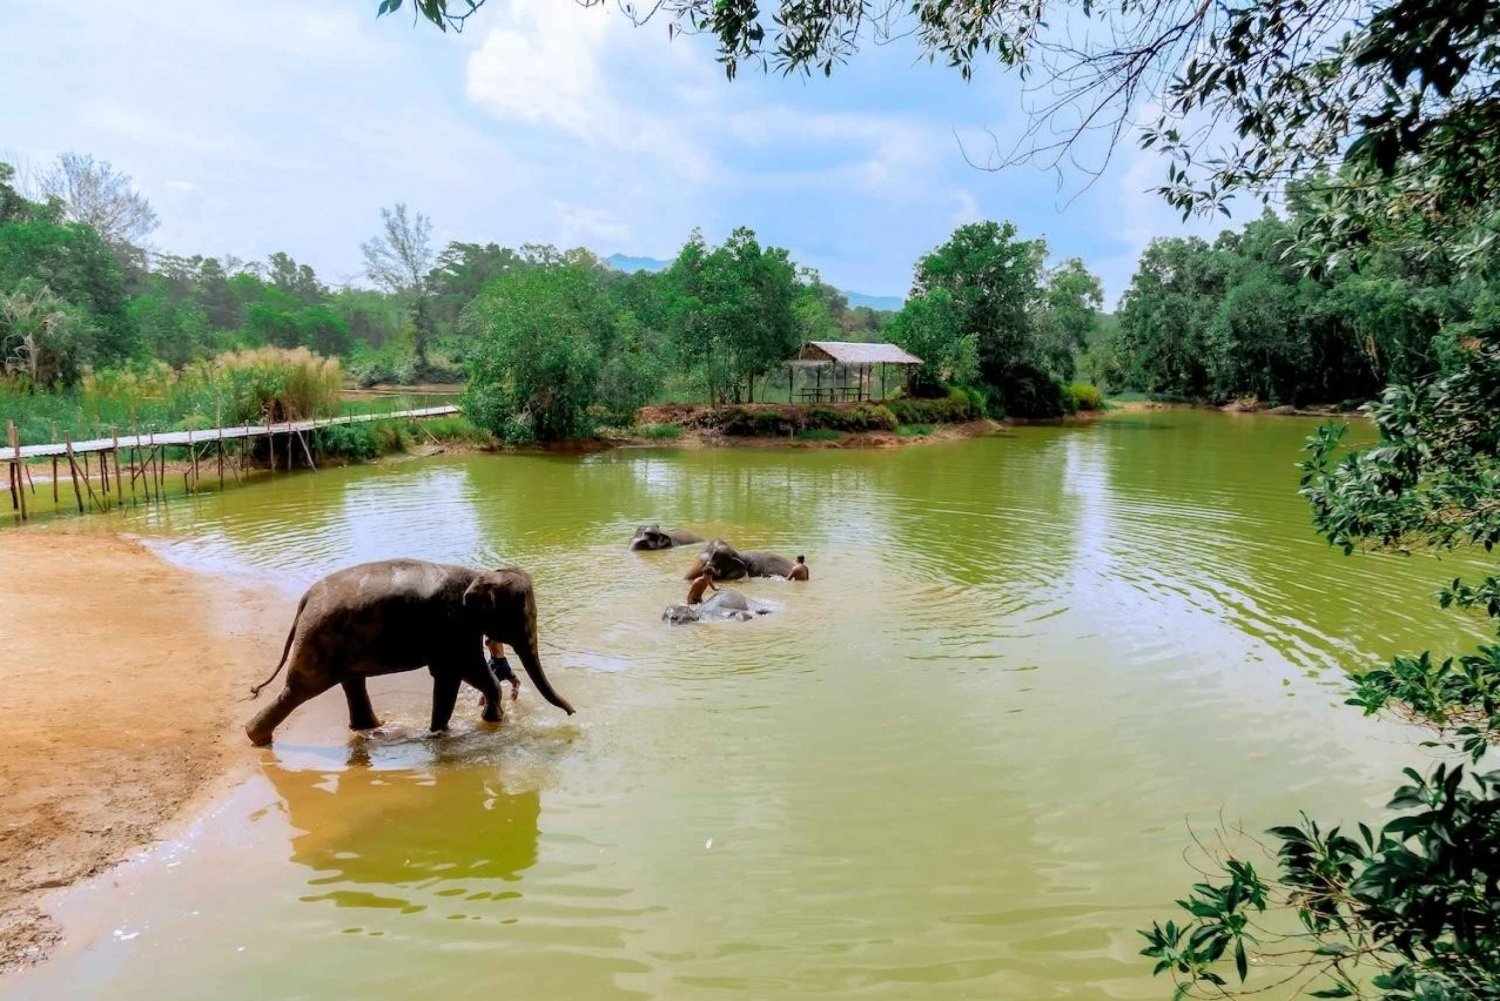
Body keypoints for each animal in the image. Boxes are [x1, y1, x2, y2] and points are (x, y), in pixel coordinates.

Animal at [243, 561, 576, 747]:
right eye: (523, 617)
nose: (573, 714)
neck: (481, 574)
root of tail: (306, 599)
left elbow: (452, 675)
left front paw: (444, 730)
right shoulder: (453, 625)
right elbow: (463, 671)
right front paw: (490, 722)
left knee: (351, 681)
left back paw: (373, 729)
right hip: (319, 640)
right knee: (301, 689)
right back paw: (256, 738)